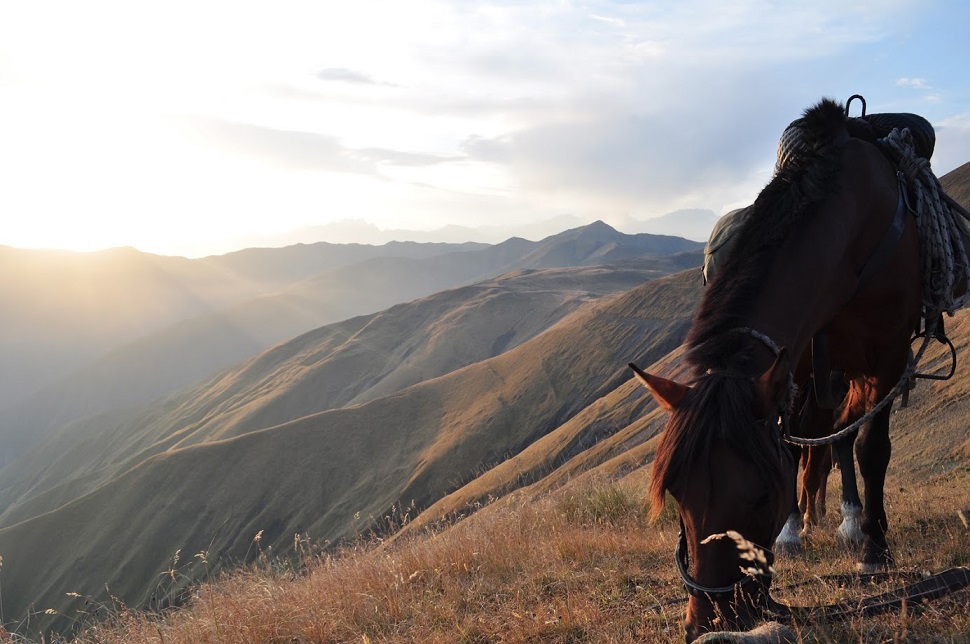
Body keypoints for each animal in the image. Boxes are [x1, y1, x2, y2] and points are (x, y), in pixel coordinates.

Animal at [632, 98, 920, 640]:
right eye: (677, 493)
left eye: (760, 498)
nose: (708, 621)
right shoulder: (796, 358)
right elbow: (792, 443)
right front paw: (793, 534)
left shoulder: (888, 354)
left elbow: (870, 448)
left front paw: (874, 550)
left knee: (848, 437)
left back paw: (856, 525)